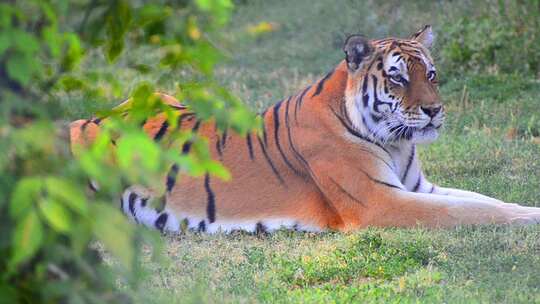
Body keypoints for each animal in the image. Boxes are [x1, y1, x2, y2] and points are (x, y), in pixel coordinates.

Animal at [70, 26, 540, 234]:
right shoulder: (382, 203)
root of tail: (90, 118)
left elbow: (483, 199)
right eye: (398, 78)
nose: (434, 110)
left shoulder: (419, 188)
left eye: (431, 74)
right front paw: (528, 218)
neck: (397, 143)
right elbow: (471, 211)